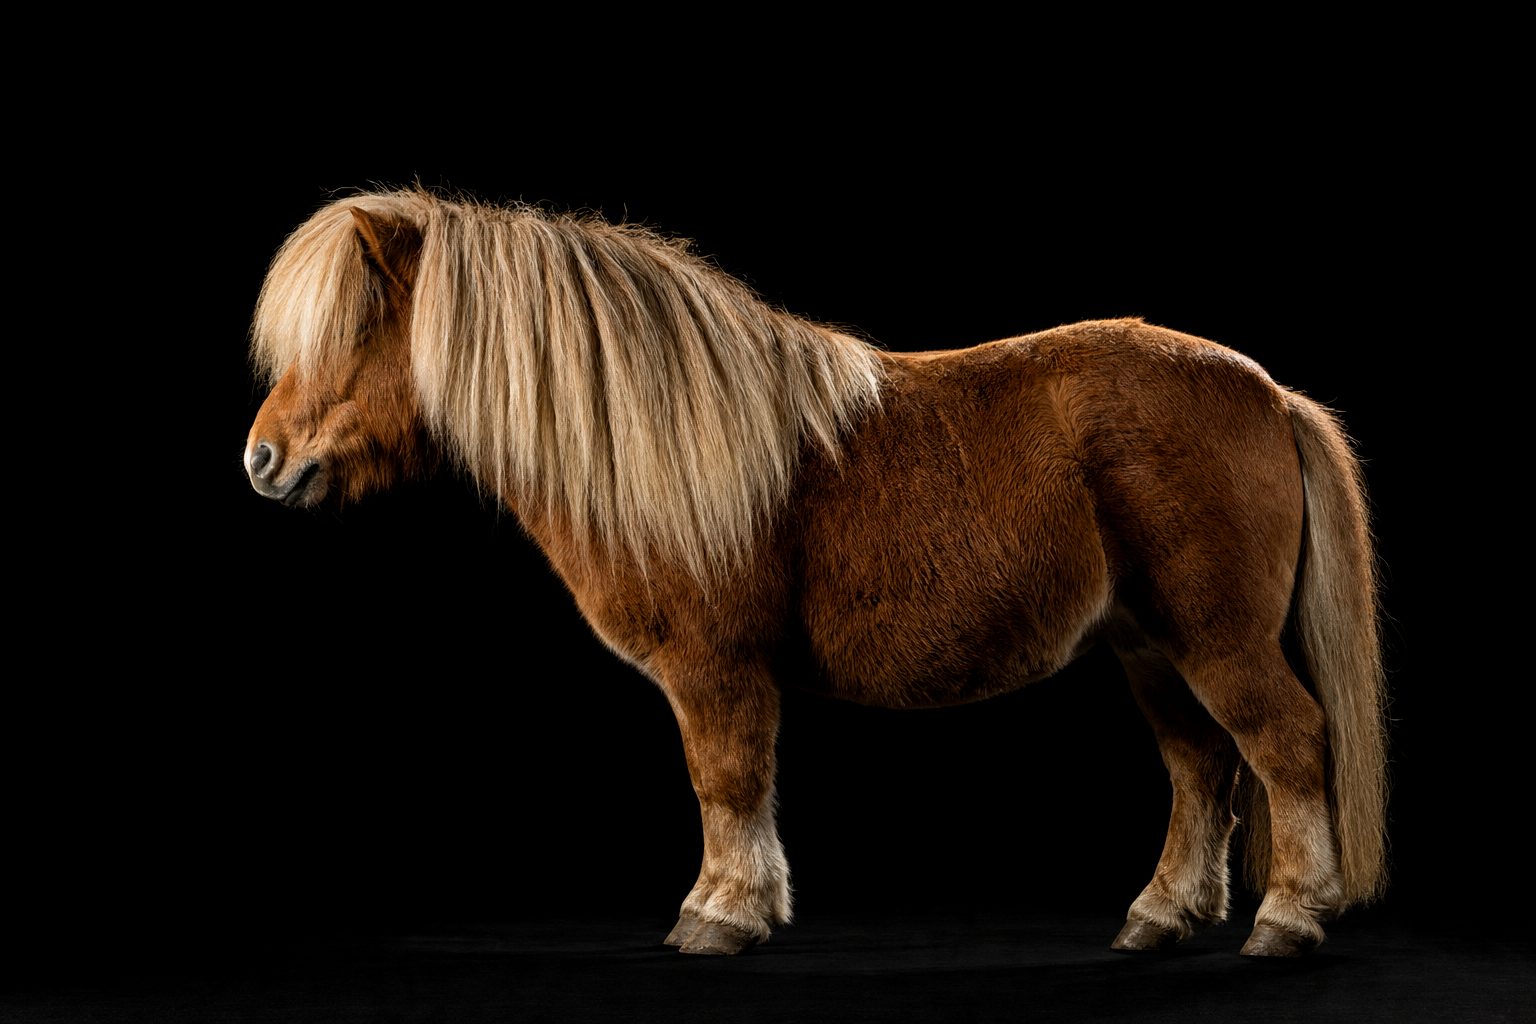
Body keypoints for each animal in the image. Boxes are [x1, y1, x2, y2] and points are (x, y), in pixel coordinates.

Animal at [242, 187, 1388, 958]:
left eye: (353, 330)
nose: (260, 458)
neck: (666, 441)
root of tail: (1267, 390)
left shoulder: (716, 672)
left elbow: (727, 780)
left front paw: (721, 912)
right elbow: (734, 784)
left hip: (1218, 638)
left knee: (1287, 744)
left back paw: (1289, 918)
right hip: (1151, 647)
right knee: (1202, 766)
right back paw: (1161, 915)